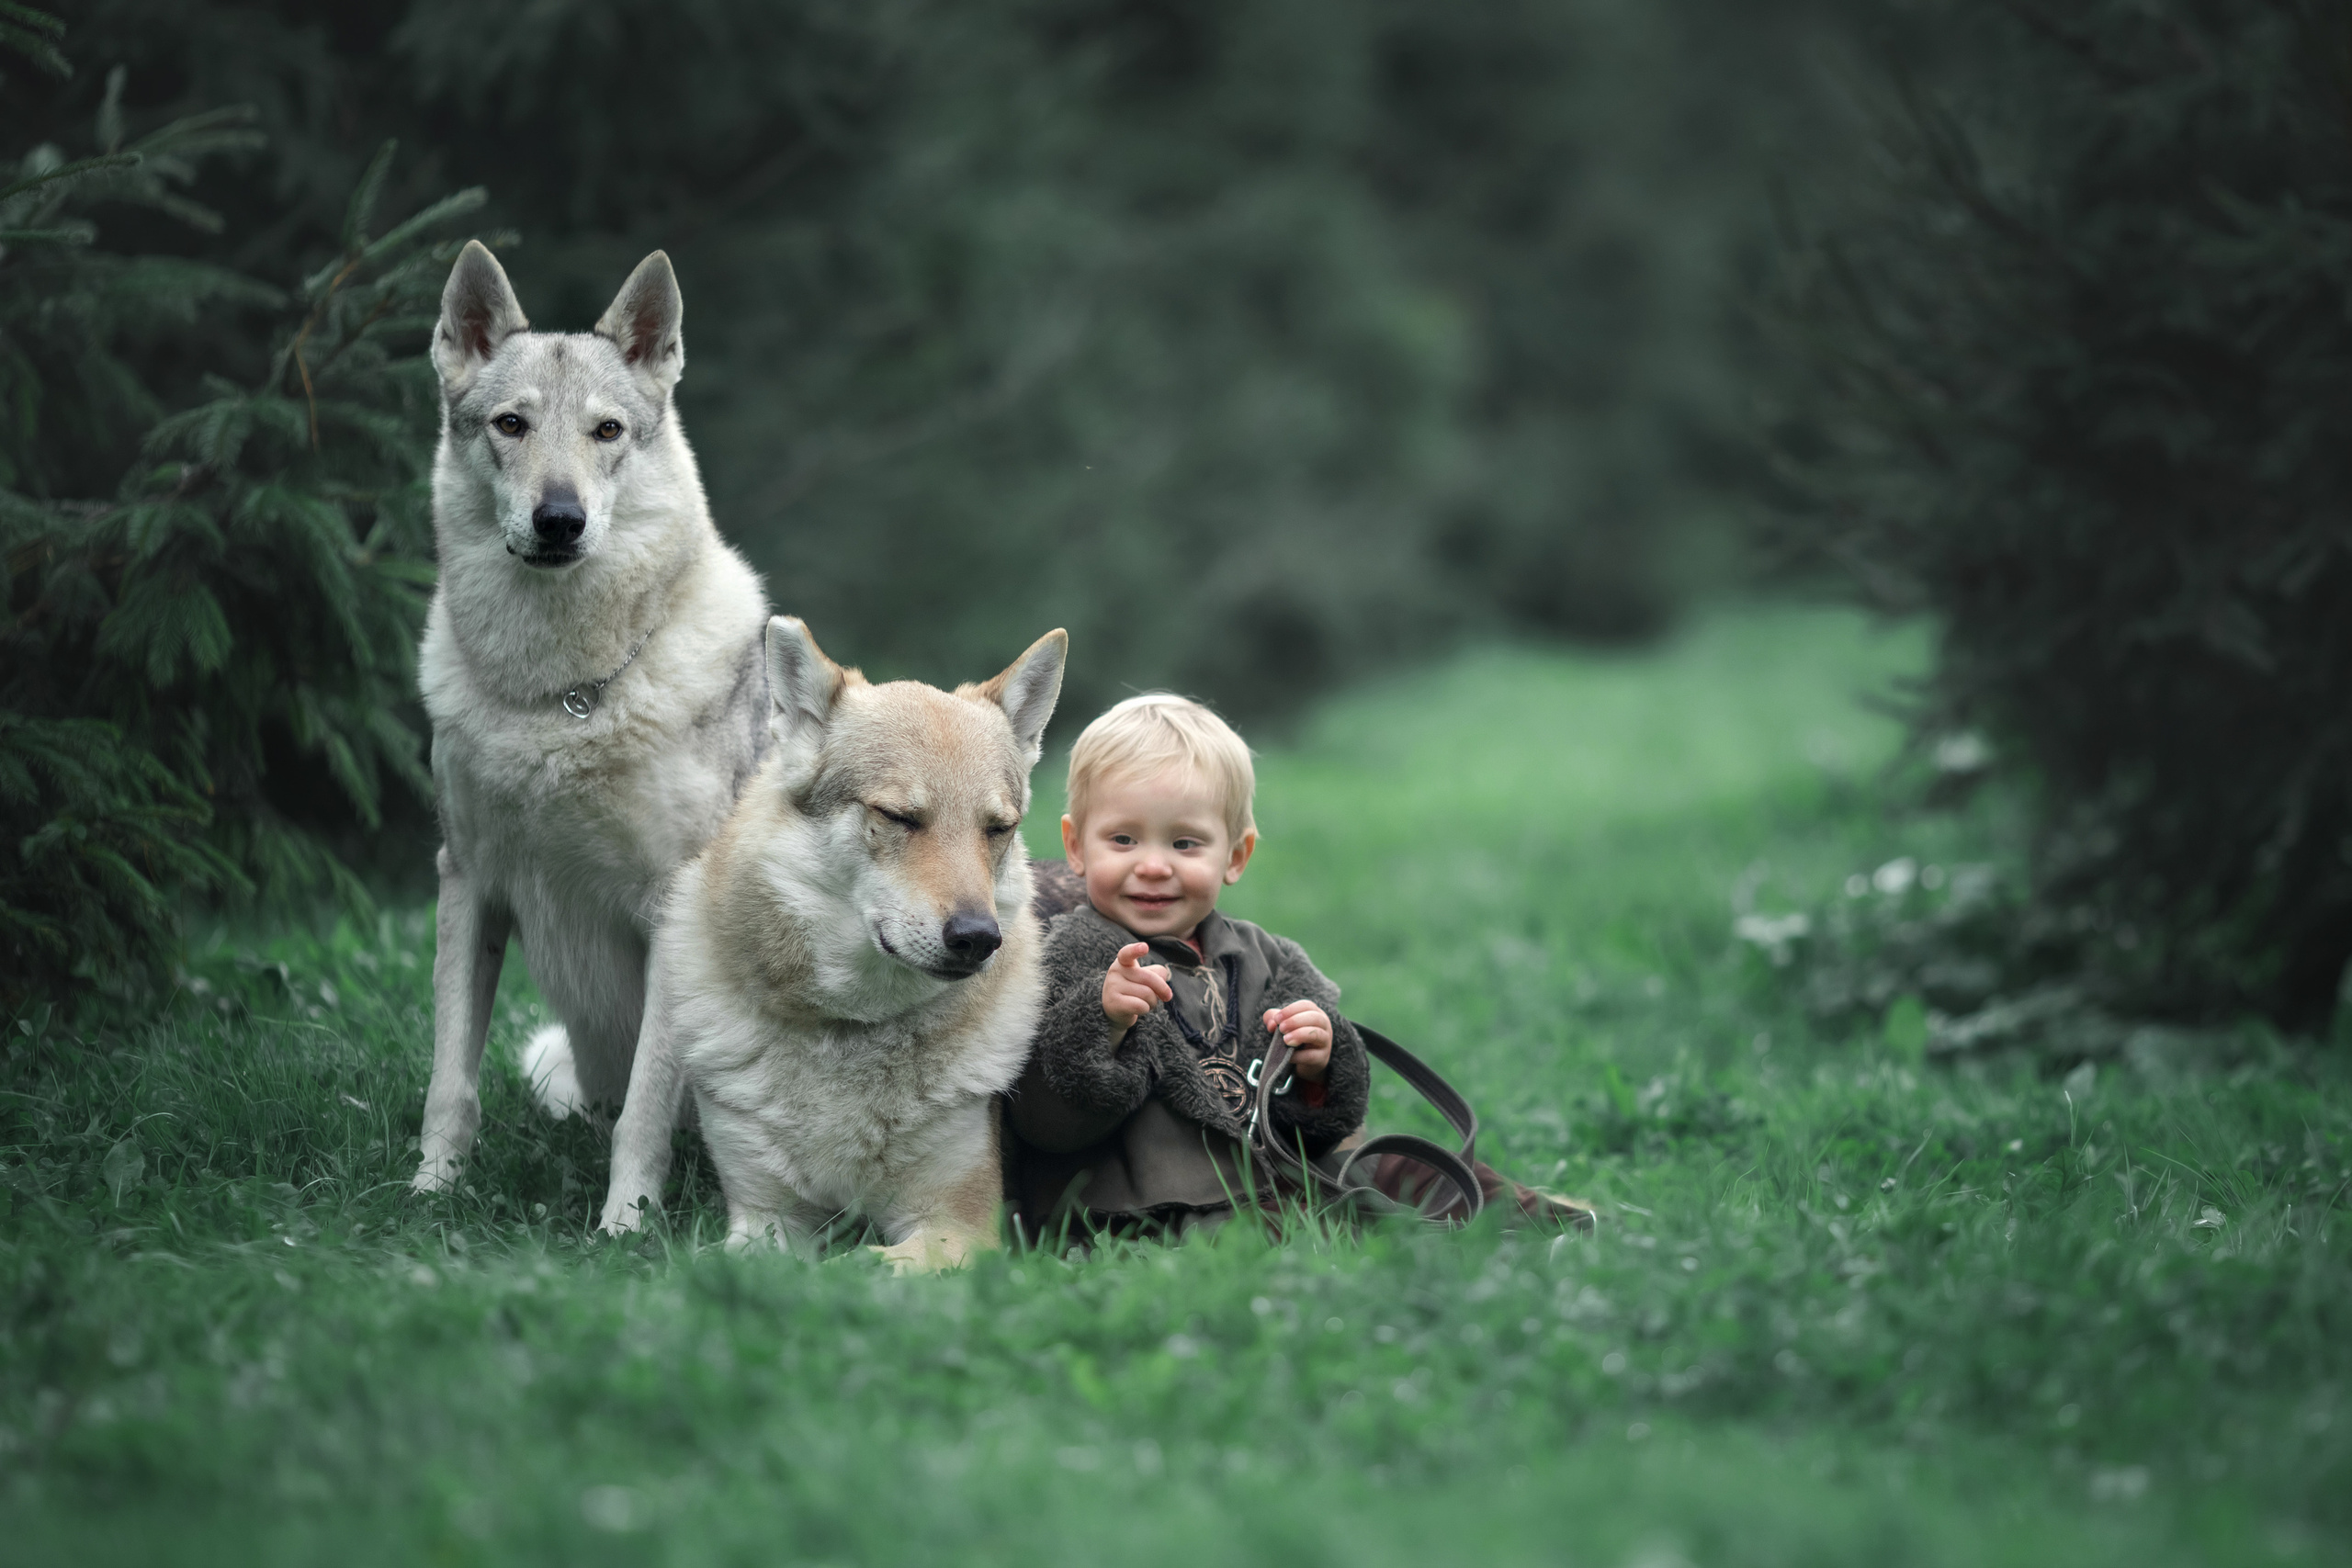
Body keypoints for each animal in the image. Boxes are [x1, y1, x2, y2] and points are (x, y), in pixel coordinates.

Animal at [410, 240, 770, 1193]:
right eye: (510, 425)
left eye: (607, 431)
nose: (560, 519)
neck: (560, 695)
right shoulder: (468, 881)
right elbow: (449, 1083)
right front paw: (425, 1196)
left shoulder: (672, 912)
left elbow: (641, 1114)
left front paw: (626, 1218)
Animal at [597, 616, 1066, 1271]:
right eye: (899, 817)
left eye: (997, 829)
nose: (979, 938)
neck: (851, 1031)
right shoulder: (762, 1218)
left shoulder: (961, 1230)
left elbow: (855, 1266)